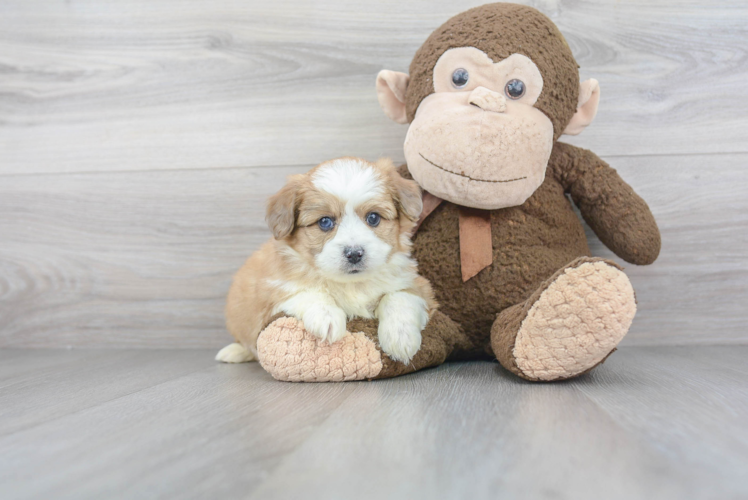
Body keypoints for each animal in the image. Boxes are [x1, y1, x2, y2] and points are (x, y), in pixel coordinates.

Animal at [216, 158, 436, 366]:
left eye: (373, 218)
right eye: (325, 222)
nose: (354, 253)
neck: (352, 285)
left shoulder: (418, 284)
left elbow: (398, 297)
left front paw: (401, 337)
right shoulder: (272, 295)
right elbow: (307, 292)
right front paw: (327, 317)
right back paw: (233, 352)